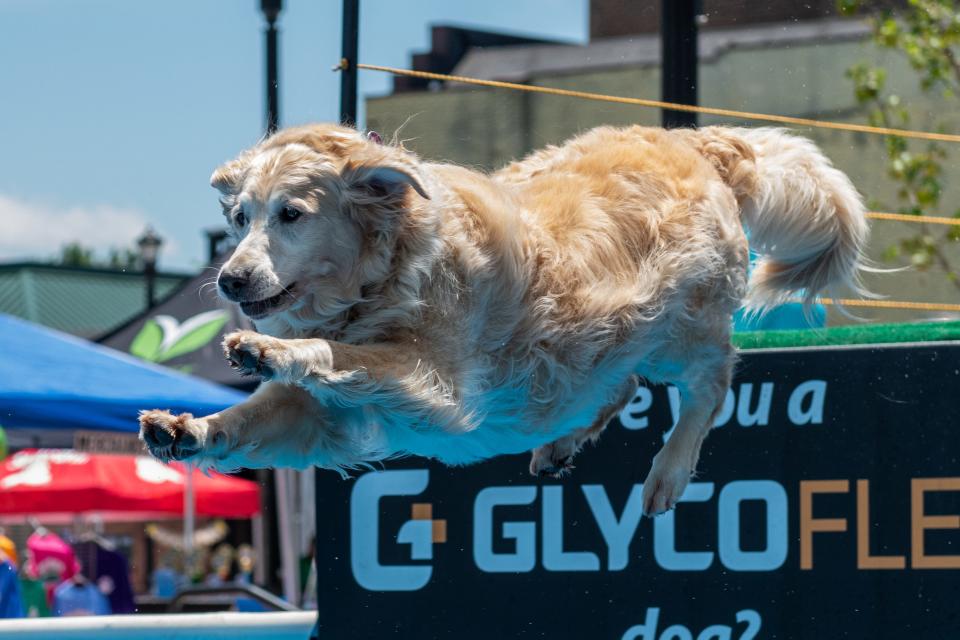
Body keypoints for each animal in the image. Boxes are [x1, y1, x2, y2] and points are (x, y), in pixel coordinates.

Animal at [139, 124, 868, 516]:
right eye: (241, 219)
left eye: (291, 214)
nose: (230, 280)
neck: (384, 280)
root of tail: (695, 140)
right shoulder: (332, 415)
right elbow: (254, 417)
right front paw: (189, 429)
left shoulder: (437, 389)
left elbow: (339, 357)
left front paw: (269, 350)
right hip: (598, 345)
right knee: (620, 386)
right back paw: (561, 443)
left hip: (677, 325)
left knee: (713, 379)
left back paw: (669, 471)